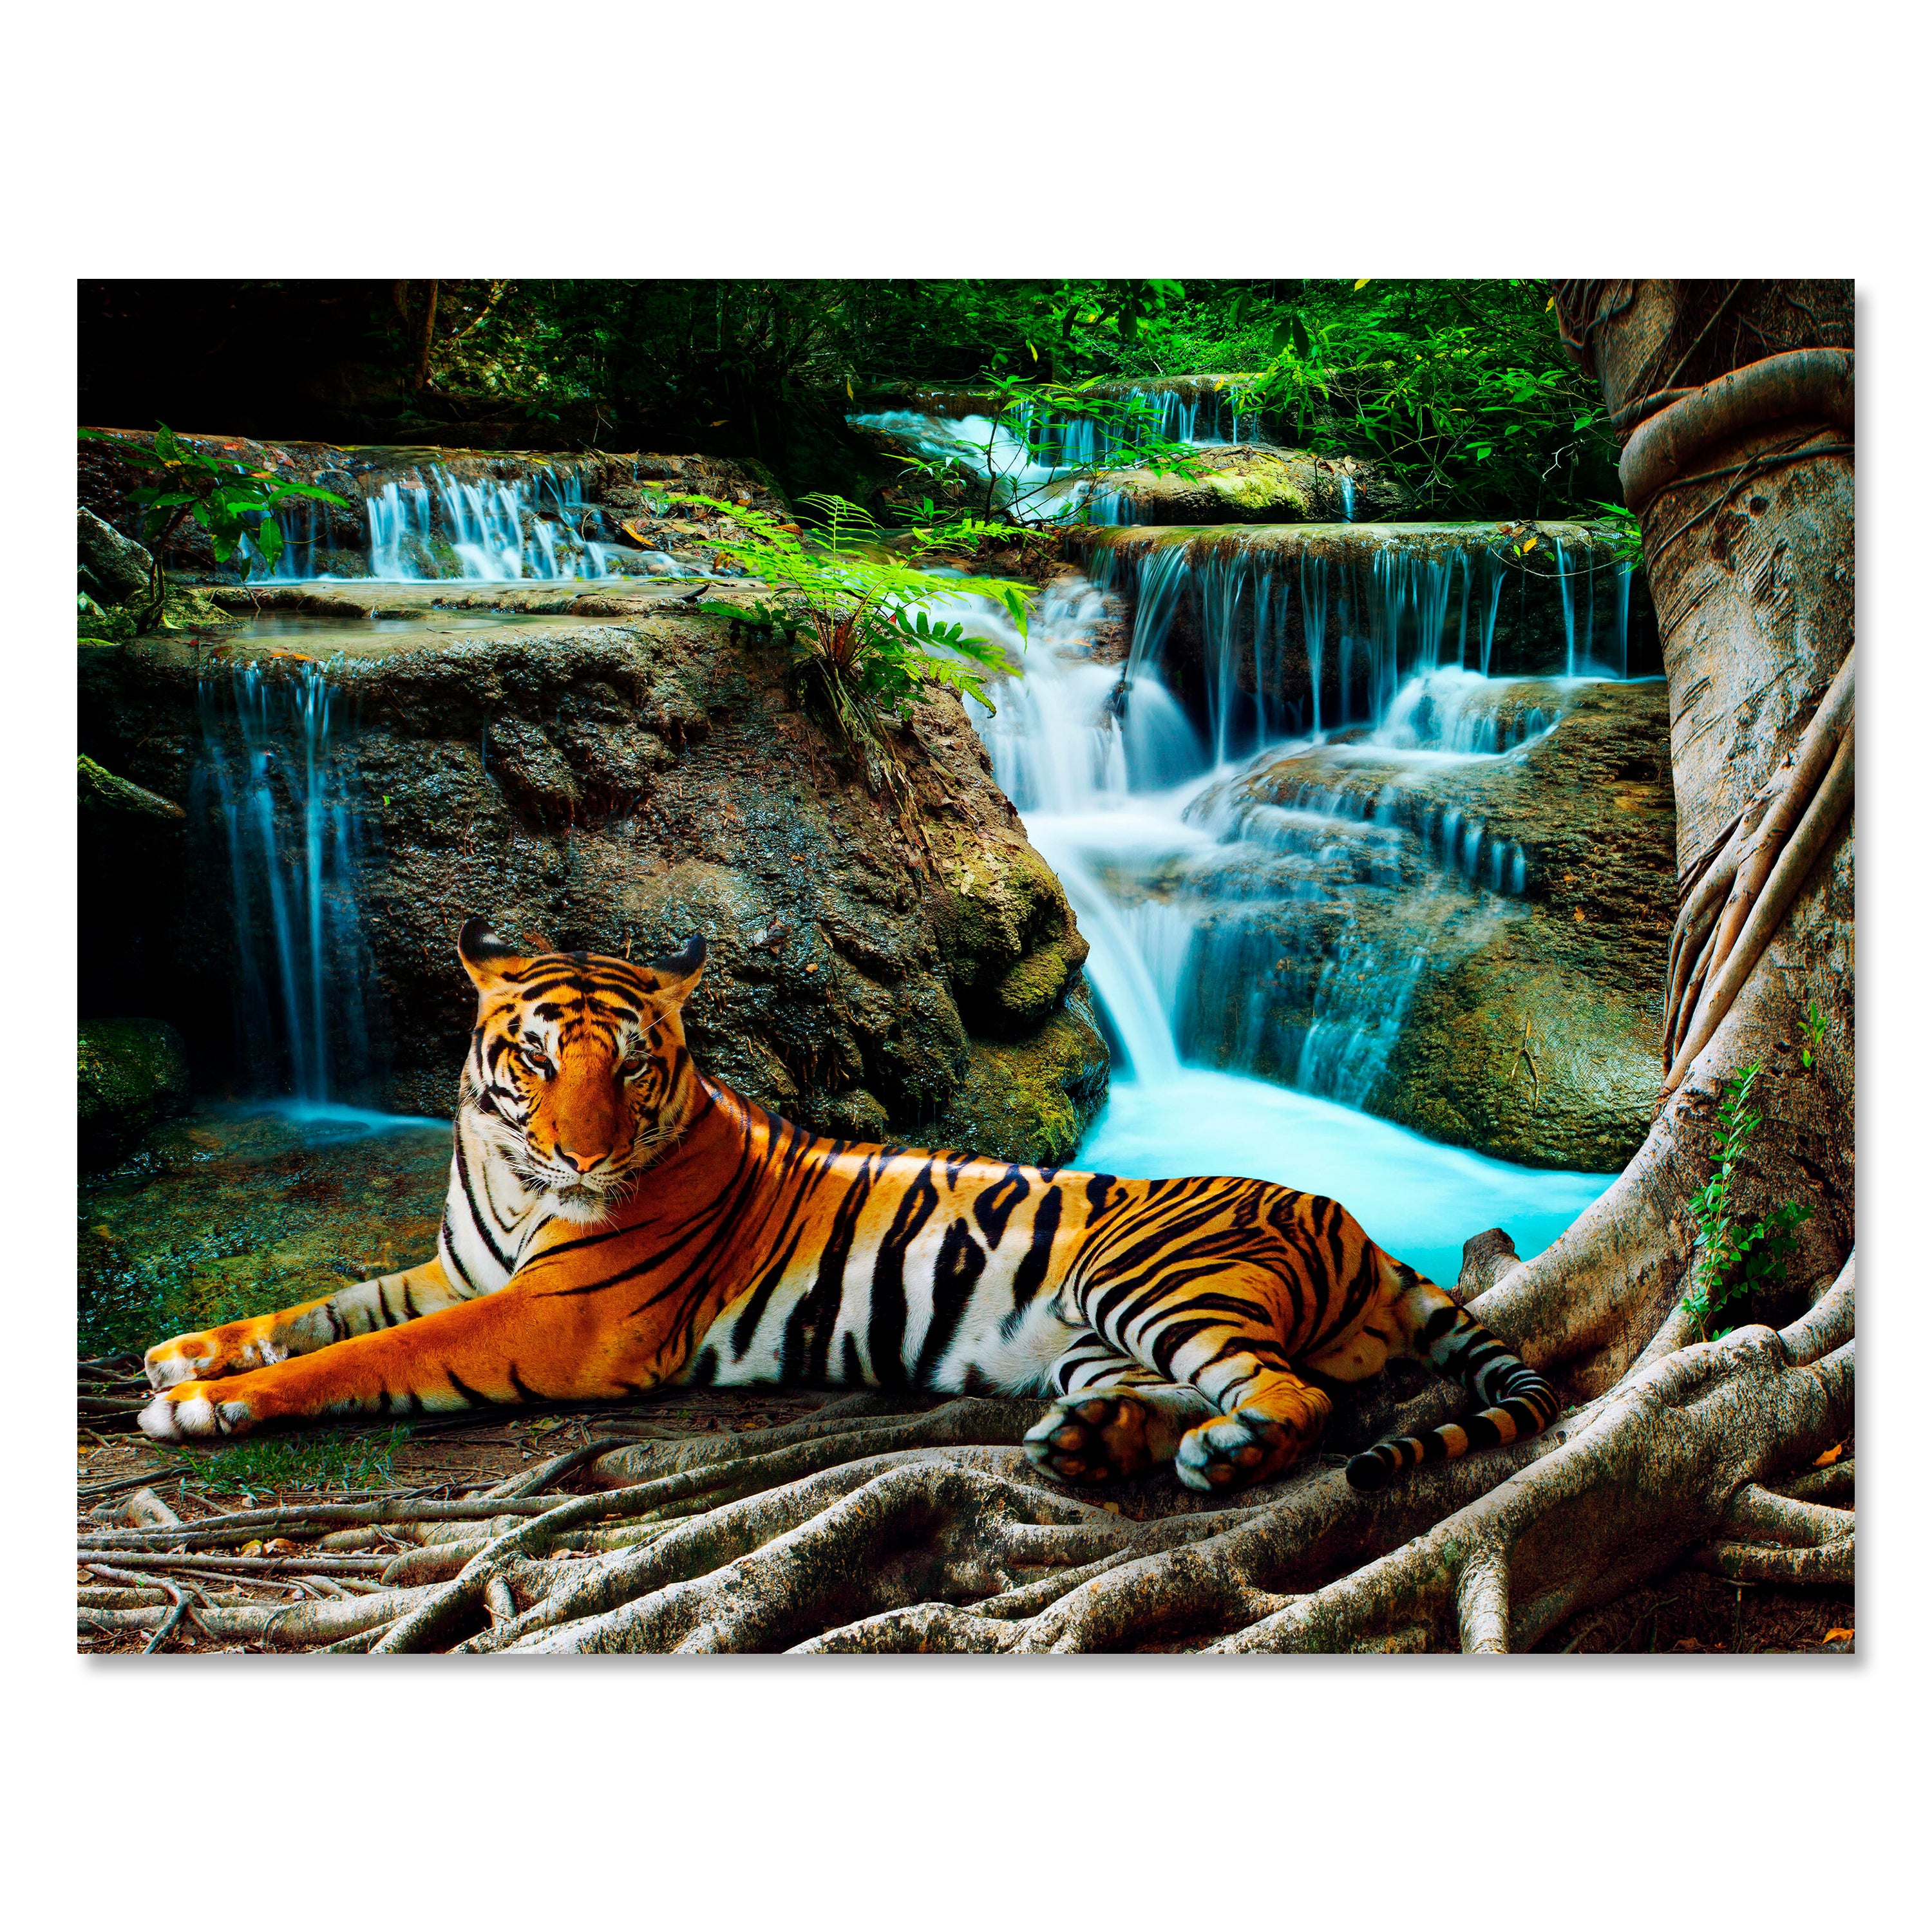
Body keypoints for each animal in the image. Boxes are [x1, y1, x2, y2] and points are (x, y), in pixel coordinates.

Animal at [139, 920, 1560, 1495]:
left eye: (632, 1067)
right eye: (536, 1061)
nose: (584, 1154)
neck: (506, 1176)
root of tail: (1359, 1228)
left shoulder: (550, 1320)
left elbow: (368, 1354)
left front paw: (207, 1406)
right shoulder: (462, 1270)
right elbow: (327, 1309)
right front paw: (186, 1354)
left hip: (1147, 1281)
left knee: (1294, 1398)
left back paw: (1222, 1453)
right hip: (1092, 1338)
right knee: (1185, 1392)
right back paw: (1093, 1446)